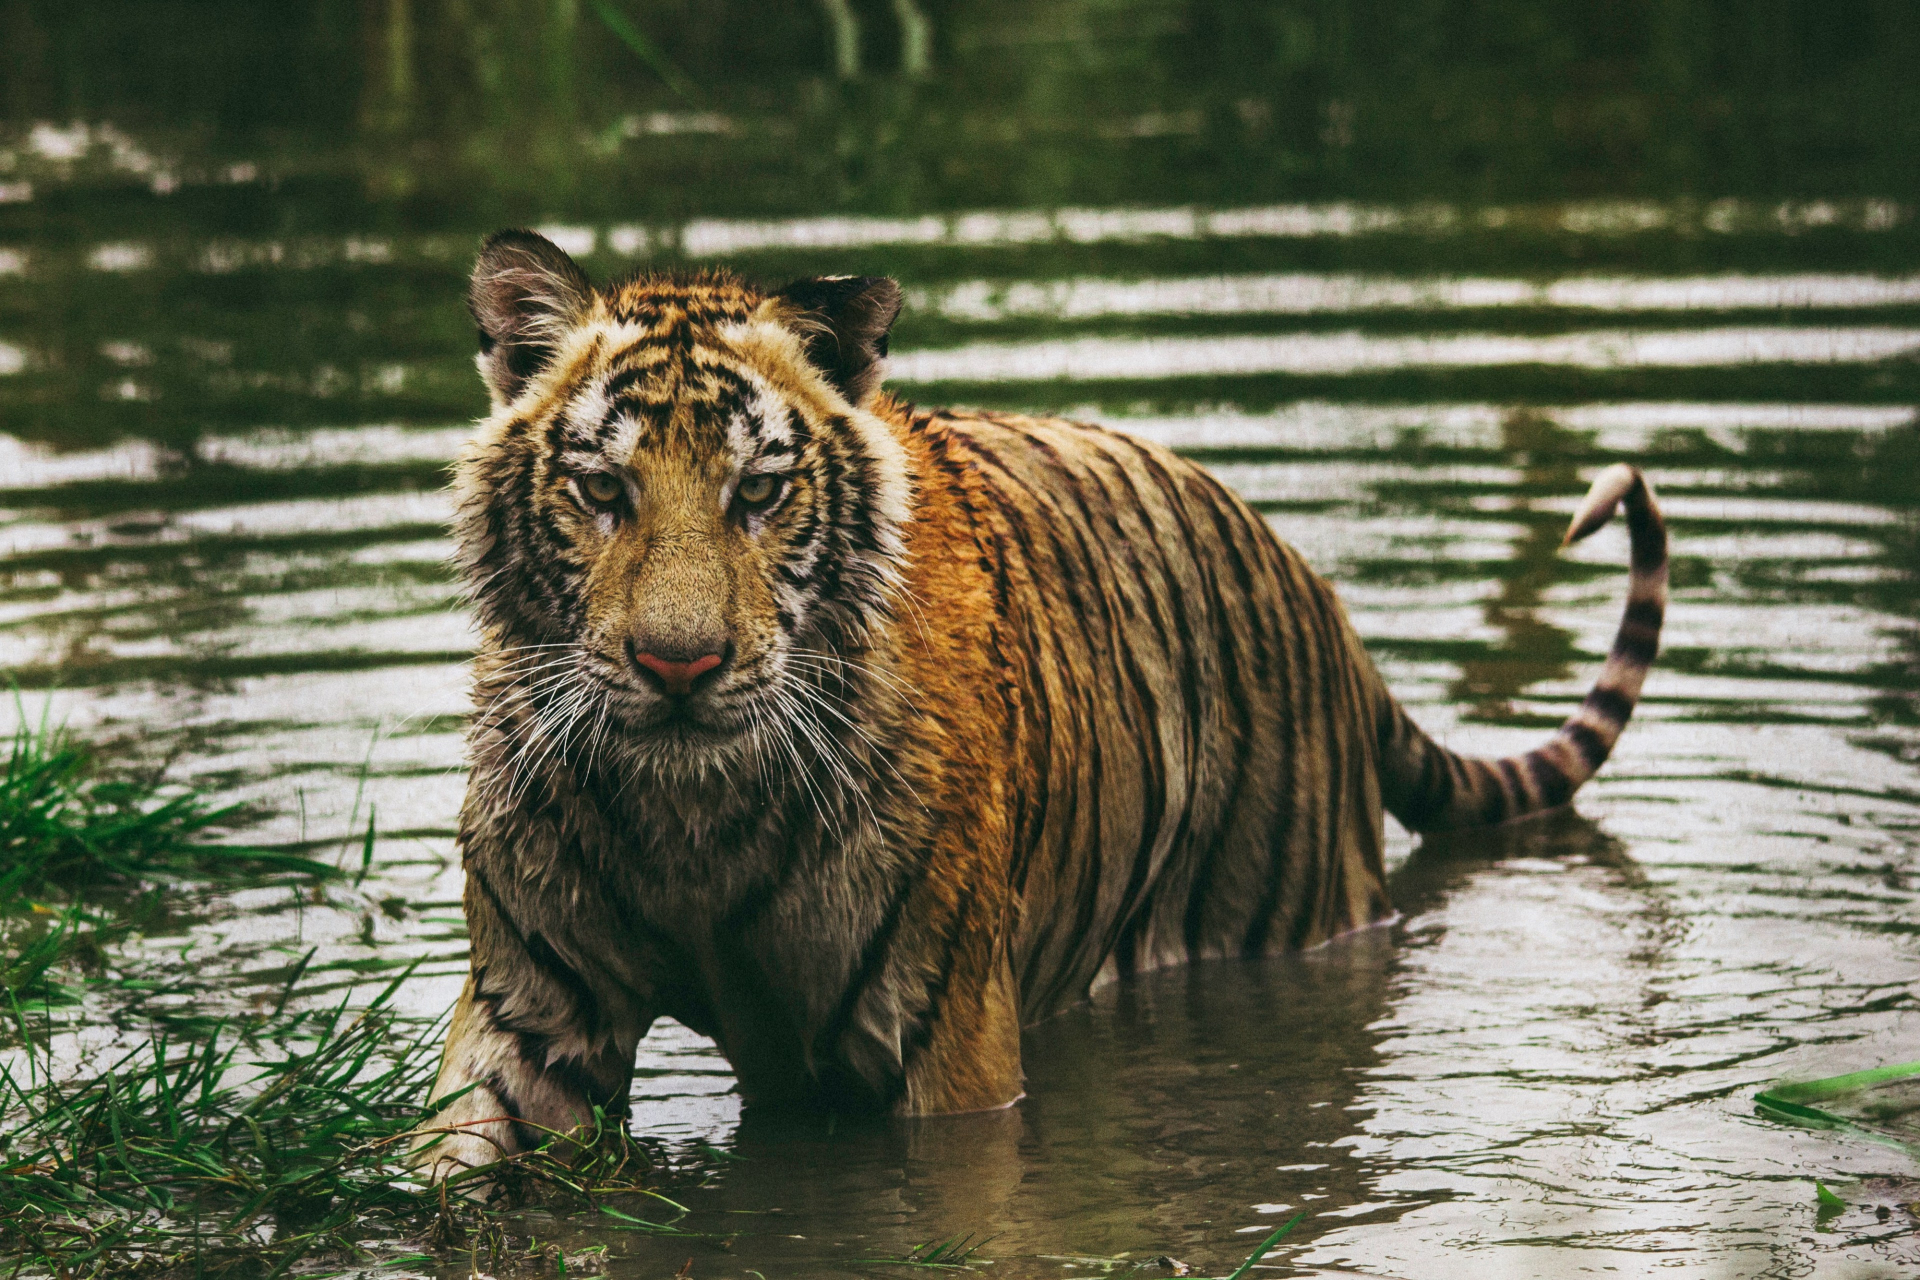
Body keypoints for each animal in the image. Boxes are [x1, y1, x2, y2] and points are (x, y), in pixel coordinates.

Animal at [416, 227, 1666, 1183]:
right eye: (601, 488)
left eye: (760, 492)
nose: (680, 666)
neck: (689, 821)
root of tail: (1323, 600)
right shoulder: (532, 1012)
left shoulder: (944, 1041)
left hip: (1288, 916)